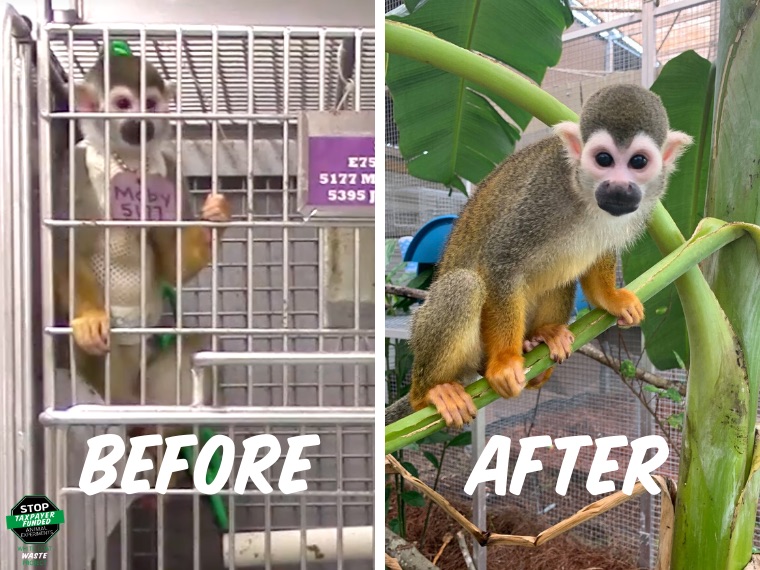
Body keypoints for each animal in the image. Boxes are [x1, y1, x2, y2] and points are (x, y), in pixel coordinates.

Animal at [384, 84, 692, 429]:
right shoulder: (542, 194)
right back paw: (430, 392)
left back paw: (539, 338)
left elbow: (599, 255)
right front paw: (504, 362)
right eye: (603, 159)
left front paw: (610, 298)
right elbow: (501, 261)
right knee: (464, 285)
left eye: (638, 161)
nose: (618, 187)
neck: (583, 194)